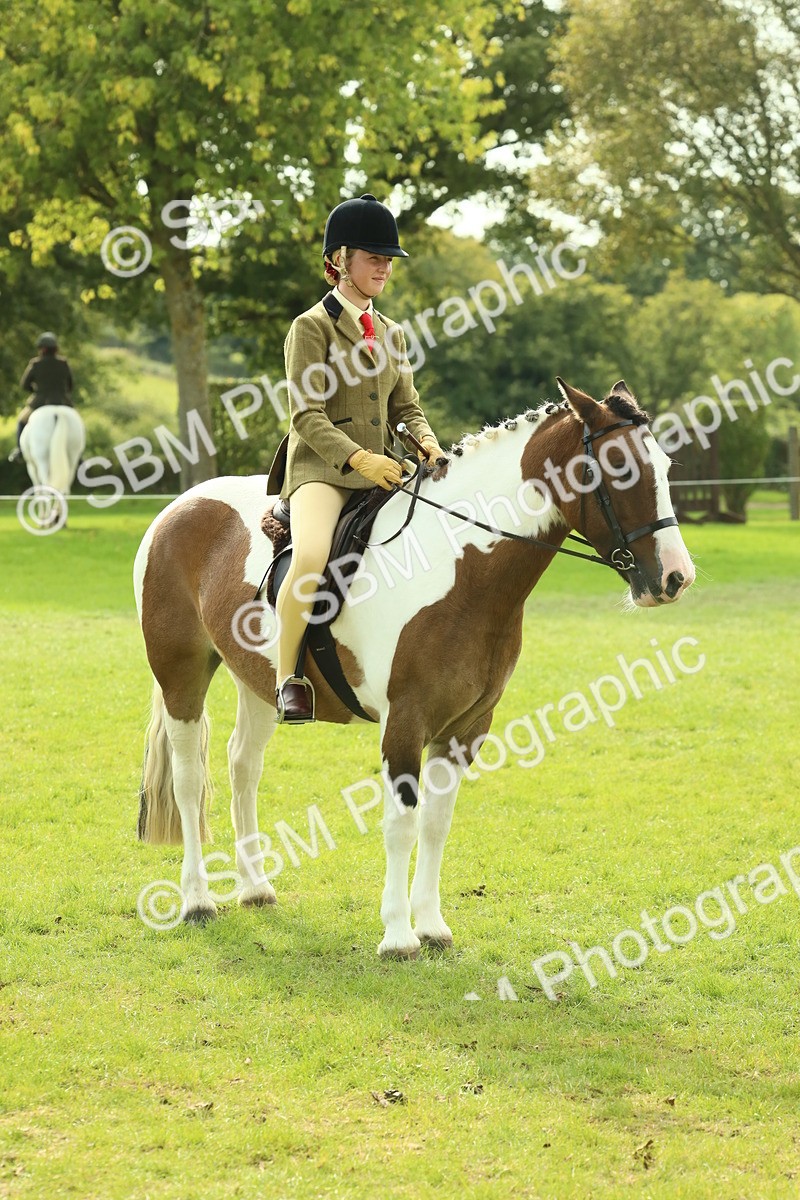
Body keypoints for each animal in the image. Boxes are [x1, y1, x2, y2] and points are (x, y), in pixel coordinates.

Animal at [134, 378, 695, 957]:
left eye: (665, 465)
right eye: (619, 467)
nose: (676, 578)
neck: (459, 567)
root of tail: (179, 507)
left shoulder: (465, 728)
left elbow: (435, 825)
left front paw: (431, 926)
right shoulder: (405, 723)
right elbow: (400, 824)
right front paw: (399, 936)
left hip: (260, 683)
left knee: (242, 766)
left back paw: (255, 888)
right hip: (180, 674)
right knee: (189, 777)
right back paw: (197, 901)